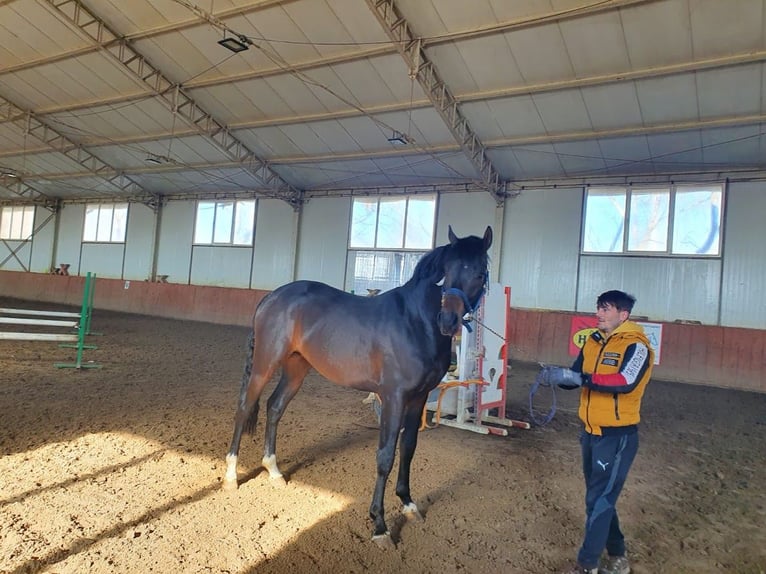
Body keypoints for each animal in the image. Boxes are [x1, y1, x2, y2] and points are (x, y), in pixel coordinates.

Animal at [225, 226, 496, 548]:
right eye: (447, 272)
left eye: (479, 273)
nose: (448, 321)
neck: (414, 322)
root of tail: (272, 296)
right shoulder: (393, 398)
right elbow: (385, 456)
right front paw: (380, 526)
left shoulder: (418, 398)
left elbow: (408, 448)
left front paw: (408, 504)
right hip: (264, 365)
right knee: (244, 407)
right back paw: (231, 476)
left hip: (296, 369)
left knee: (274, 407)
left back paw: (274, 470)